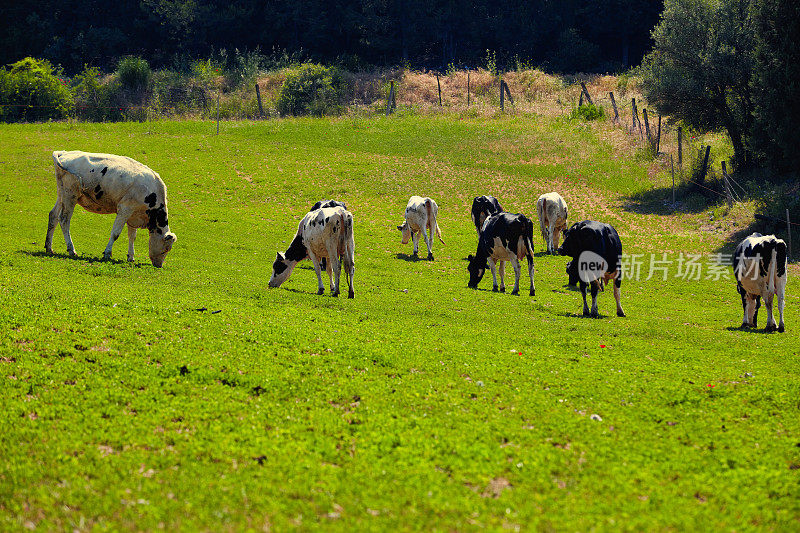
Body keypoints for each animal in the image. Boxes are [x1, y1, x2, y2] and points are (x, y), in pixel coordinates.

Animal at [45, 150, 177, 266]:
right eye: (166, 249)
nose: (159, 265)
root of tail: (63, 153)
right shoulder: (125, 208)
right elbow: (115, 233)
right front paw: (107, 253)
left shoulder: (133, 214)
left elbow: (132, 236)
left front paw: (131, 257)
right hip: (70, 195)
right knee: (64, 220)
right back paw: (71, 250)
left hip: (62, 194)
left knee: (53, 216)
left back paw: (49, 248)